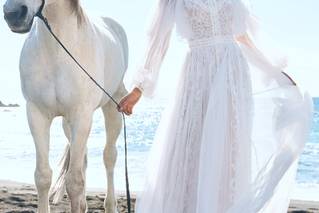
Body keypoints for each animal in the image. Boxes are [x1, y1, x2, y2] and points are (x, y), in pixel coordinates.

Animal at [3, 0, 129, 211]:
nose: (13, 13)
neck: (57, 52)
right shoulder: (36, 115)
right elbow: (43, 176)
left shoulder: (82, 116)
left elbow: (74, 182)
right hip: (68, 125)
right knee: (84, 160)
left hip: (112, 109)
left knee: (109, 156)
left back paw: (110, 205)